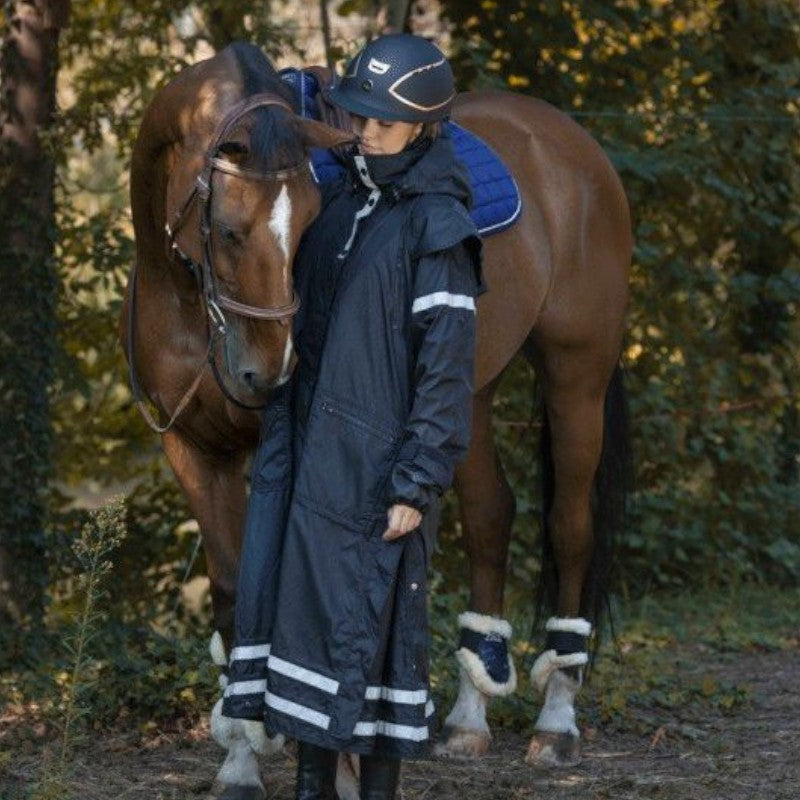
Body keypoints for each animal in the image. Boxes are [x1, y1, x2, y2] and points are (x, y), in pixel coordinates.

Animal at [120, 42, 632, 800]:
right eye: (228, 231)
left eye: (310, 224)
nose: (268, 373)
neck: (187, 301)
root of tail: (573, 143)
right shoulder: (192, 450)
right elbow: (233, 593)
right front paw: (241, 757)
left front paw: (331, 758)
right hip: (467, 396)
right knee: (492, 518)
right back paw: (468, 719)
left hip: (577, 375)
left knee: (570, 529)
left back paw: (556, 720)